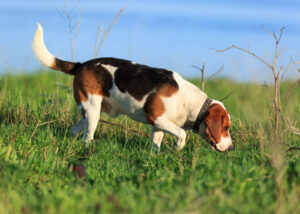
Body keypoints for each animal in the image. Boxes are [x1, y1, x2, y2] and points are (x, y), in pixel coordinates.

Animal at [33, 23, 234, 152]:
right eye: (225, 128)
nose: (232, 148)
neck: (192, 103)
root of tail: (81, 65)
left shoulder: (158, 127)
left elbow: (156, 145)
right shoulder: (158, 119)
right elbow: (182, 134)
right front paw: (177, 147)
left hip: (90, 113)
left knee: (75, 131)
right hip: (92, 110)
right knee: (87, 137)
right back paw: (89, 149)